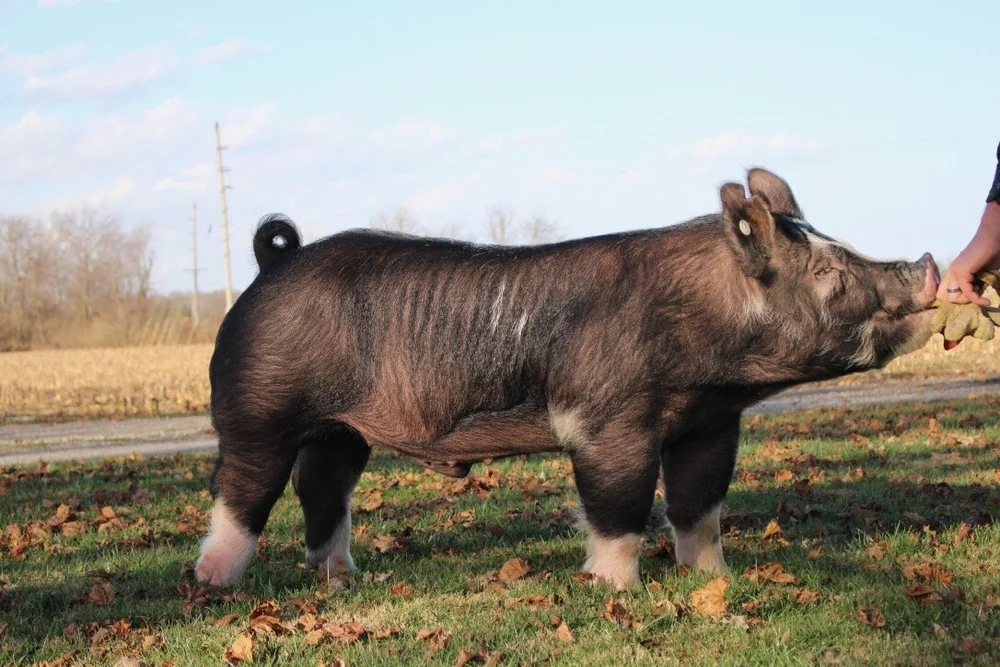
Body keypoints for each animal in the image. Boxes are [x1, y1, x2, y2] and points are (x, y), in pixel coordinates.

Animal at [195, 168, 940, 589]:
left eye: (842, 247)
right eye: (828, 273)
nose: (928, 264)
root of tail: (273, 265)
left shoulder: (711, 423)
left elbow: (700, 505)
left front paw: (712, 578)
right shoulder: (606, 419)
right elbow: (619, 505)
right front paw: (616, 589)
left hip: (340, 429)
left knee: (322, 486)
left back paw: (343, 576)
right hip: (257, 407)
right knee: (243, 491)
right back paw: (214, 582)